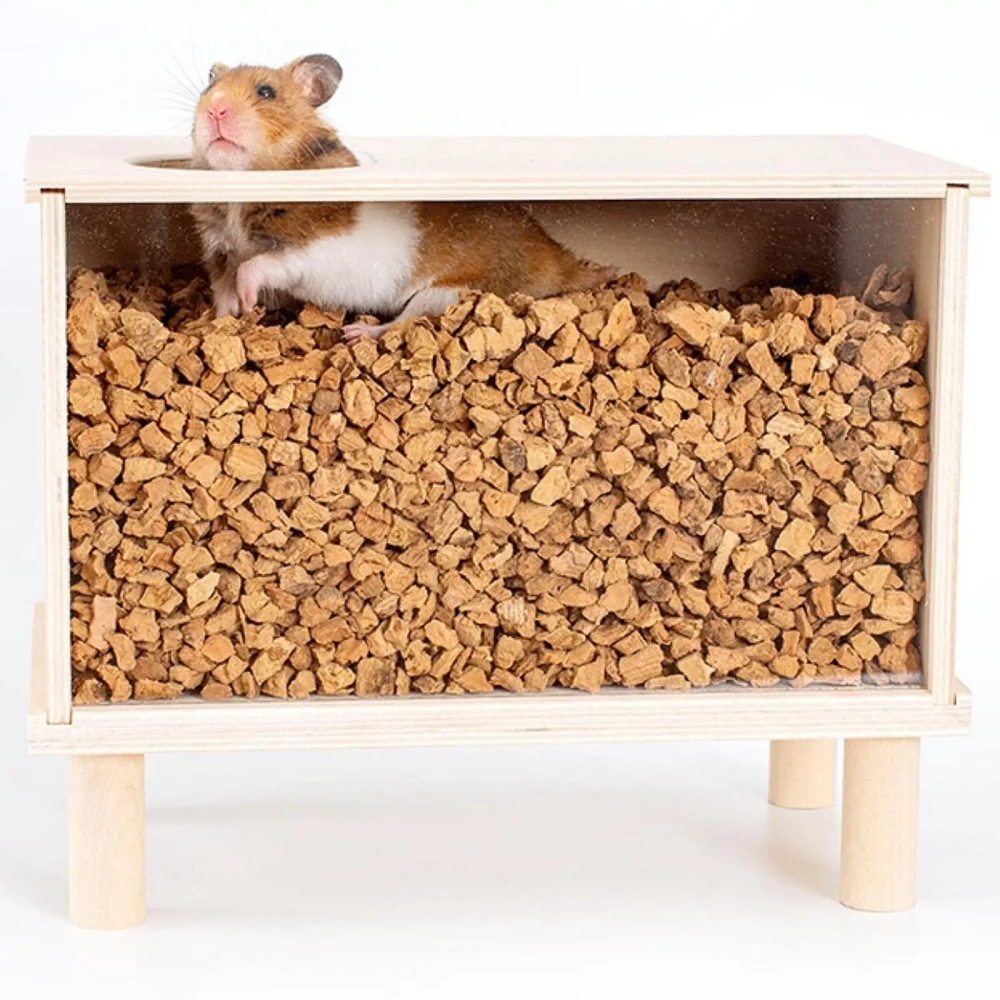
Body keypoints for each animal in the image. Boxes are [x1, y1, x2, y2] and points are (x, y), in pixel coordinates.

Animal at [190, 54, 613, 340]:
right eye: (207, 86)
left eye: (266, 92)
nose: (214, 109)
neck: (239, 195)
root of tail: (556, 261)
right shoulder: (220, 253)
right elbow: (224, 286)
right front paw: (225, 319)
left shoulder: (307, 250)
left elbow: (257, 266)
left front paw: (249, 302)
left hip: (446, 293)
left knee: (404, 323)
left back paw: (358, 333)